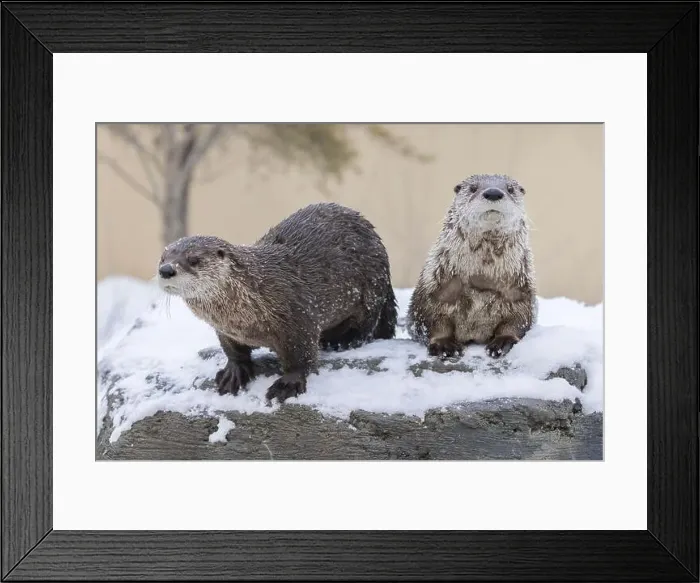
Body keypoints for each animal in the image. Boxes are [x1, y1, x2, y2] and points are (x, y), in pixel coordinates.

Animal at [157, 202, 398, 403]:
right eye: (163, 258)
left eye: (193, 260)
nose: (166, 270)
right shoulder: (225, 331)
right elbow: (233, 351)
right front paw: (233, 372)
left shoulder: (297, 317)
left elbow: (301, 357)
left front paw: (288, 384)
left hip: (372, 290)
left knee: (367, 325)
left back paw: (342, 341)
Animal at [406, 173, 536, 360]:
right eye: (473, 188)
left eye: (510, 189)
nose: (493, 193)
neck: (481, 280)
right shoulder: (434, 290)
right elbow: (432, 321)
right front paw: (444, 345)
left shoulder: (520, 292)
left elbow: (518, 320)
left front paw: (503, 342)